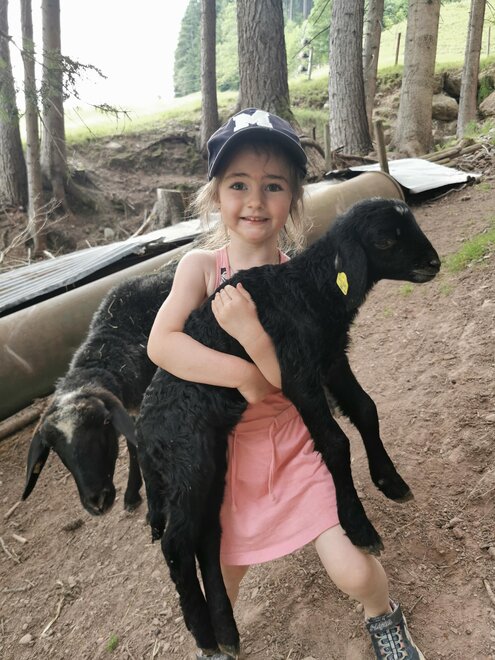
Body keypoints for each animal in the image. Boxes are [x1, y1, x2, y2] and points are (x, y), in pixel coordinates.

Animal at [21, 267, 175, 515]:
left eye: (104, 423)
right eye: (52, 447)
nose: (97, 502)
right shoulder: (130, 409)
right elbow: (133, 445)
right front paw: (131, 495)